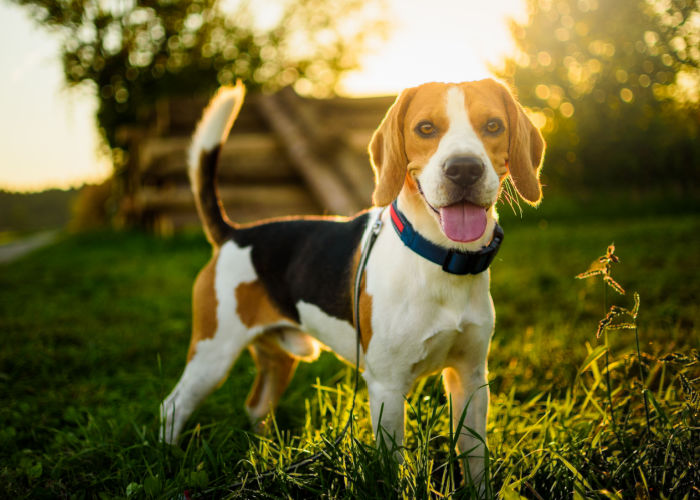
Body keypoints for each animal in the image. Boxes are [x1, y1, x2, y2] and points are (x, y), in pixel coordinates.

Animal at [161, 80, 544, 486]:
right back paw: (169, 461)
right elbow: (393, 468)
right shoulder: (386, 386)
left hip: (278, 359)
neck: (442, 260)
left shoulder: (470, 378)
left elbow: (474, 459)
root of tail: (234, 233)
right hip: (212, 354)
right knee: (173, 406)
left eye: (493, 126)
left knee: (256, 406)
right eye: (425, 128)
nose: (464, 169)